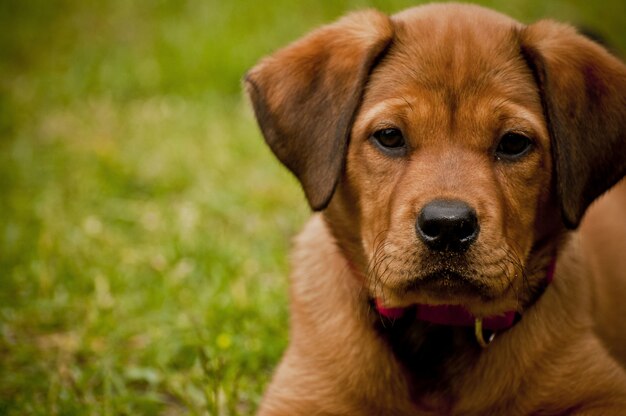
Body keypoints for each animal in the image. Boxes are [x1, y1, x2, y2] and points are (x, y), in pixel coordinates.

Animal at [243, 2, 624, 412]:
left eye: (513, 143)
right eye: (389, 136)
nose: (447, 227)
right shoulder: (301, 396)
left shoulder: (603, 392)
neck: (437, 332)